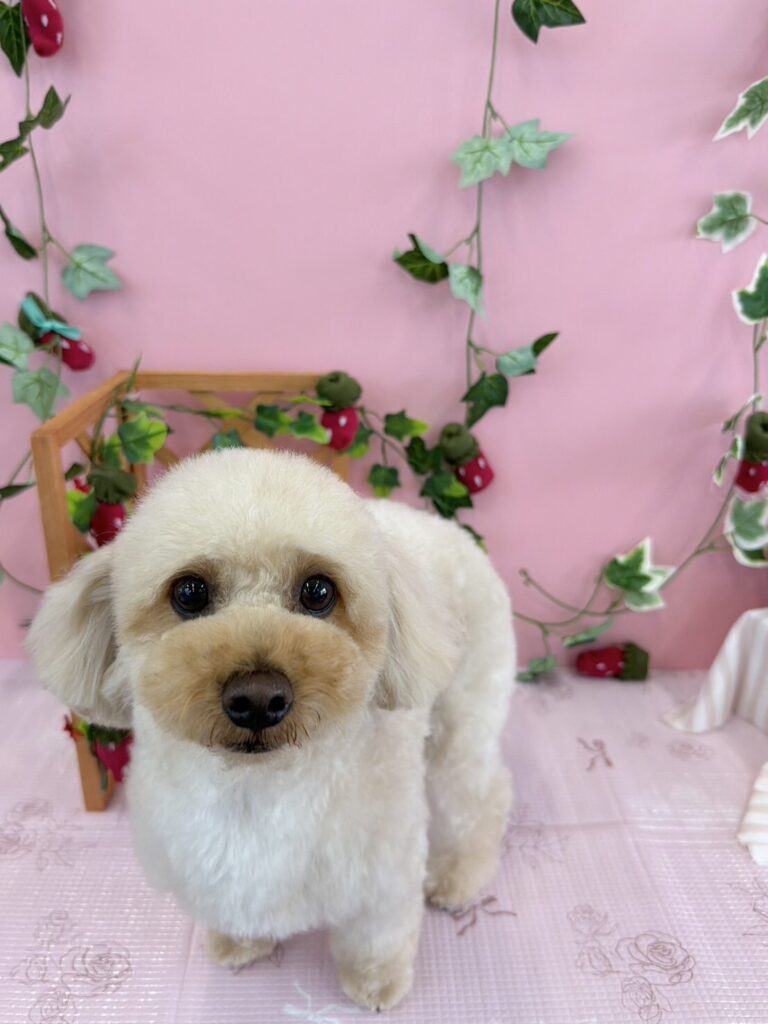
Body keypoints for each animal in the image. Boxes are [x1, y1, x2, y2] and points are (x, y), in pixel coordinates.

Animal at [28, 448, 515, 1011]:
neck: (256, 787)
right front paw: (239, 941)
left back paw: (458, 876)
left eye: (319, 591)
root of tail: (443, 525)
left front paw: (375, 982)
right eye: (189, 591)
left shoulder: (382, 865)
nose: (258, 698)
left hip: (465, 709)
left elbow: (377, 934)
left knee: (478, 795)